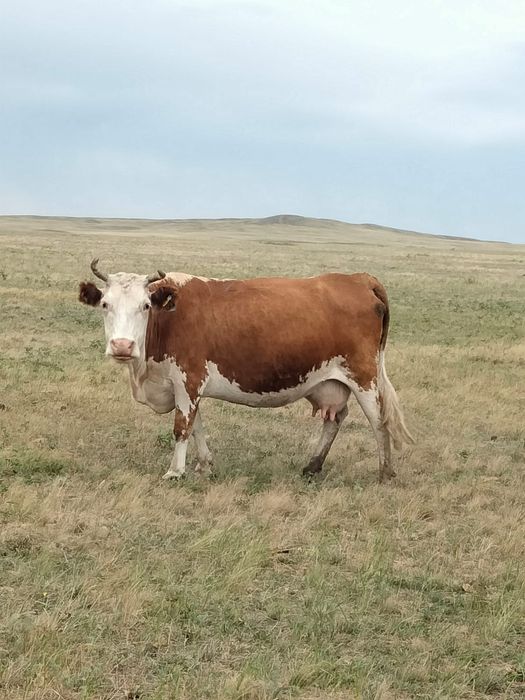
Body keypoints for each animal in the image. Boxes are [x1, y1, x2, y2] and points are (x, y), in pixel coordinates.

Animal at [79, 259, 413, 481]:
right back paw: (313, 465)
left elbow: (182, 427)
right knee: (335, 418)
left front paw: (175, 471)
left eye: (145, 306)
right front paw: (205, 464)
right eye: (105, 305)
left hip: (364, 376)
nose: (122, 346)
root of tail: (359, 278)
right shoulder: (182, 386)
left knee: (378, 421)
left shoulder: (188, 379)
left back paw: (385, 472)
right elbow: (197, 425)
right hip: (331, 381)